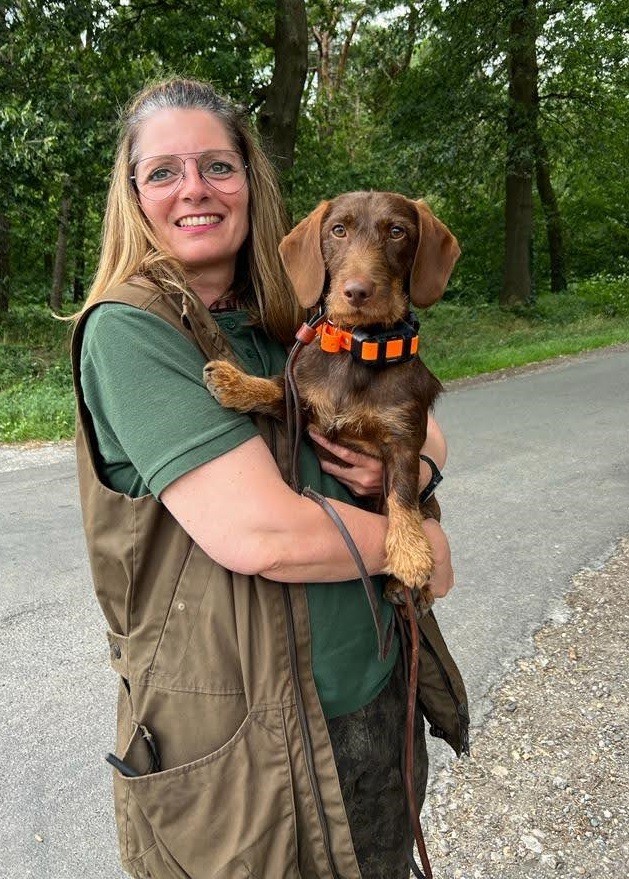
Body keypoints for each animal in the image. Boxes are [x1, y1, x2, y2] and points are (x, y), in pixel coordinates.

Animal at [204, 190, 458, 608]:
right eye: (338, 230)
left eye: (397, 232)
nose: (356, 292)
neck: (356, 348)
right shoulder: (300, 404)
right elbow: (274, 389)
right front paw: (235, 382)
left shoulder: (403, 439)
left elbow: (401, 494)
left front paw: (409, 554)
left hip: (430, 504)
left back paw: (407, 588)